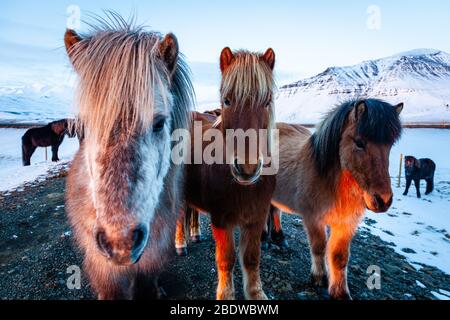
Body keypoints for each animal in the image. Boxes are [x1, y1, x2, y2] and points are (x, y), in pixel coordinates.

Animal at [184, 48, 276, 300]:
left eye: (267, 101)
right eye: (227, 100)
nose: (247, 168)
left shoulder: (256, 217)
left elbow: (251, 259)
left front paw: (256, 293)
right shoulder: (221, 219)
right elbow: (226, 259)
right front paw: (225, 295)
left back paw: (194, 233)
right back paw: (180, 243)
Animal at [270, 99, 404, 300]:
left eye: (390, 145)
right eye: (359, 142)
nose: (383, 200)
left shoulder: (346, 224)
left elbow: (339, 257)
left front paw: (339, 292)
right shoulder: (313, 219)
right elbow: (319, 247)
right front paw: (319, 278)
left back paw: (277, 238)